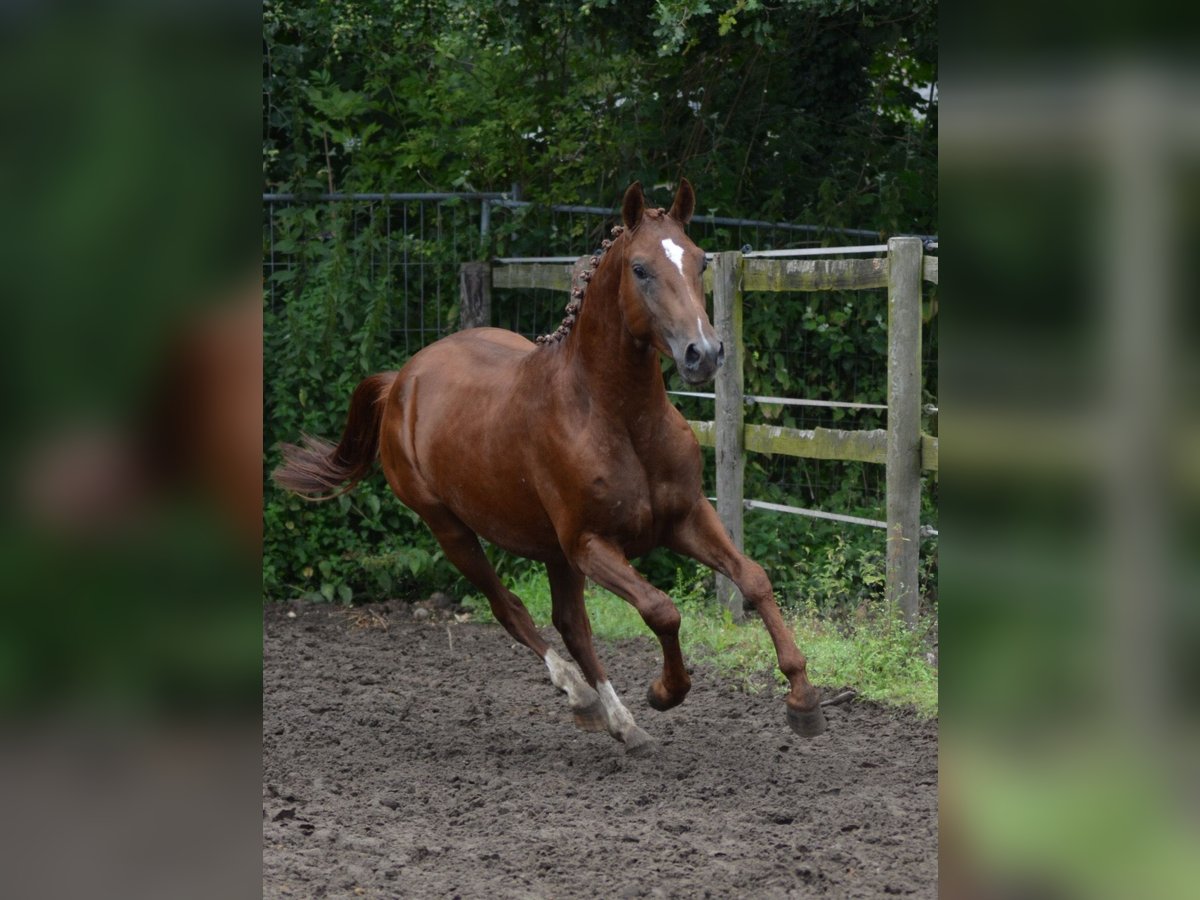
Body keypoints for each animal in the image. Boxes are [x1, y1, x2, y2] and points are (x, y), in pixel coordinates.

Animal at [276, 181, 830, 753]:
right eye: (640, 268)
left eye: (699, 261)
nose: (704, 353)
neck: (618, 419)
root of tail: (400, 381)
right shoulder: (590, 543)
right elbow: (662, 609)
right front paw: (664, 691)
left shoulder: (685, 518)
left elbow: (753, 579)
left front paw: (803, 702)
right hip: (451, 530)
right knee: (512, 610)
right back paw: (584, 699)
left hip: (549, 550)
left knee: (571, 624)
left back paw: (622, 723)